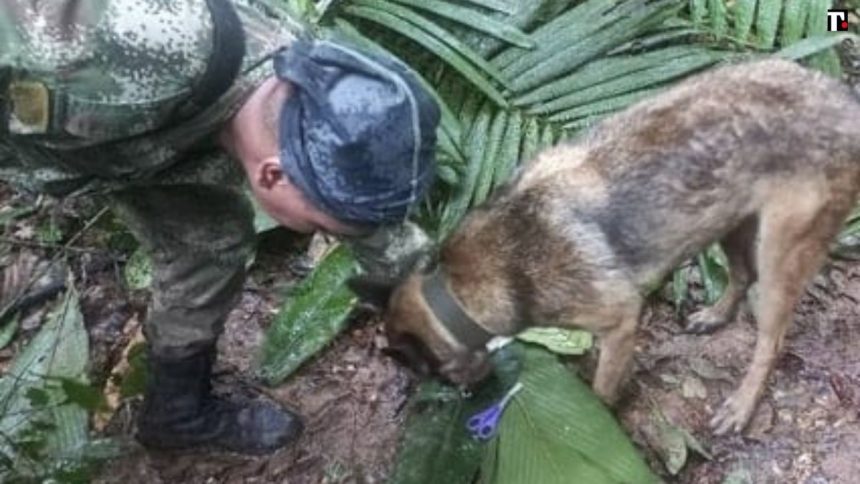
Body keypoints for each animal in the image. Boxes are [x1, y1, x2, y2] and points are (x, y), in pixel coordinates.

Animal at [350, 58, 860, 436]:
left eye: (437, 375)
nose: (468, 398)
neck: (459, 288)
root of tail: (843, 98)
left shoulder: (620, 320)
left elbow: (599, 391)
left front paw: (594, 421)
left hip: (780, 256)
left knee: (772, 337)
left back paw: (741, 404)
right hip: (730, 219)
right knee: (740, 273)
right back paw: (715, 315)